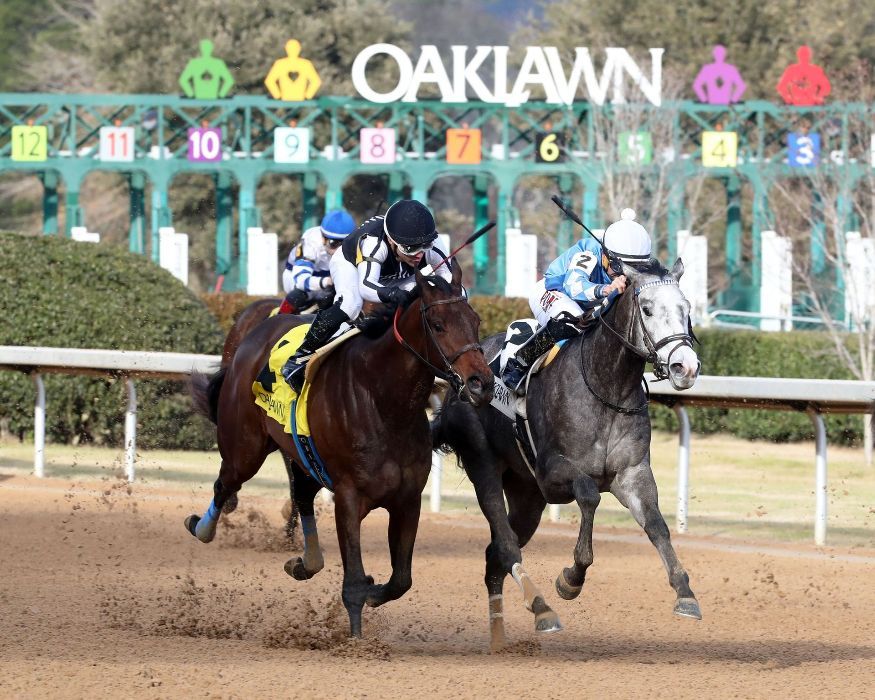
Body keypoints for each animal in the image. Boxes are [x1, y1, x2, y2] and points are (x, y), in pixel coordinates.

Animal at [187, 260, 494, 637]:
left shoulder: (408, 499)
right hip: (245, 448)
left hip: (301, 453)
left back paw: (305, 562)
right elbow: (353, 584)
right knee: (225, 484)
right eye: (438, 324)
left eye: (475, 320)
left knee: (302, 494)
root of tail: (253, 335)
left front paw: (375, 592)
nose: (481, 383)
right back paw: (202, 527)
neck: (383, 401)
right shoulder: (348, 497)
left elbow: (401, 579)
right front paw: (356, 640)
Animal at [431, 257, 702, 651]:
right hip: (485, 465)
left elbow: (656, 525)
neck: (607, 387)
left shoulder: (632, 472)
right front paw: (571, 578)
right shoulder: (552, 474)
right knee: (505, 545)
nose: (686, 367)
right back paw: (542, 611)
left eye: (687, 309)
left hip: (527, 496)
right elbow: (589, 495)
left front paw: (685, 593)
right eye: (648, 309)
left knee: (494, 556)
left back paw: (503, 636)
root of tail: (457, 382)